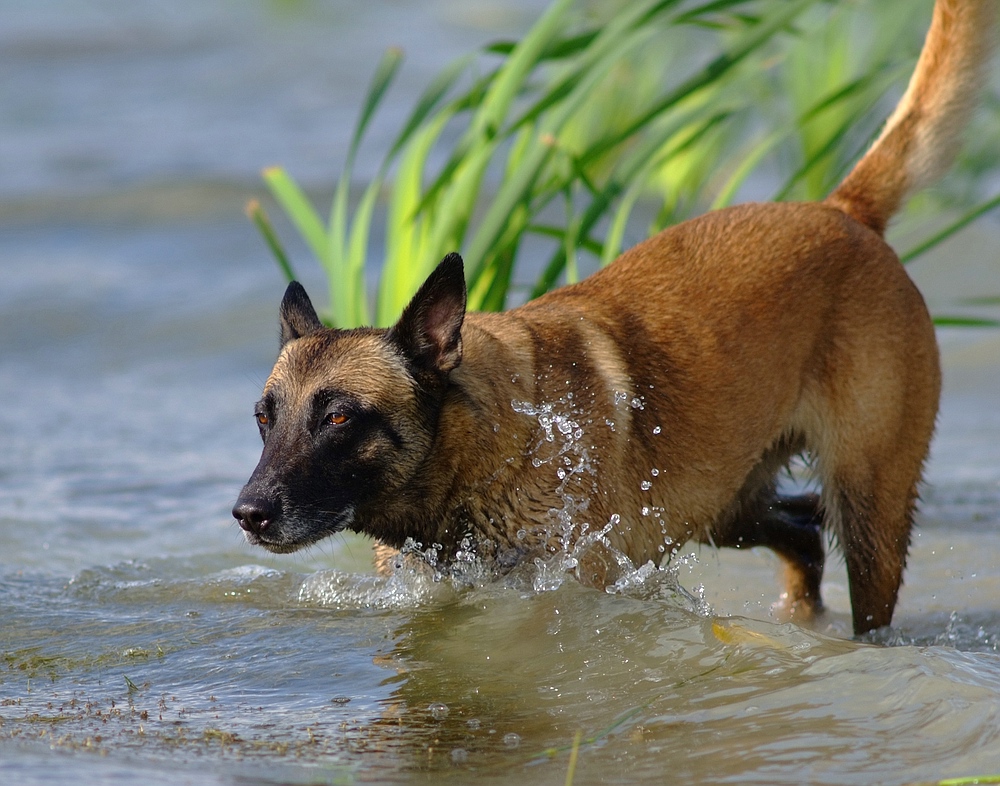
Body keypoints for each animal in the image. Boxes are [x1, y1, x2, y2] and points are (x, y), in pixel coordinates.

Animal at [234, 0, 992, 632]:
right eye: (264, 419)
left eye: (338, 418)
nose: (247, 513)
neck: (494, 441)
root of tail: (842, 211)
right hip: (723, 503)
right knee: (803, 534)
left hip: (868, 506)